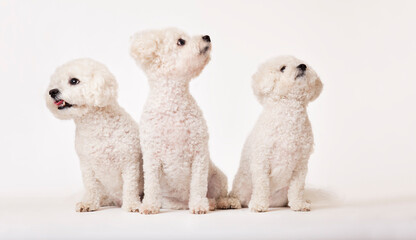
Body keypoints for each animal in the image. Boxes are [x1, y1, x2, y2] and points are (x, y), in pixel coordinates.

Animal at [45, 58, 143, 212]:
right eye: (56, 81)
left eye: (74, 81)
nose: (52, 91)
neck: (96, 127)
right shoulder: (87, 165)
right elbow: (91, 186)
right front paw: (89, 203)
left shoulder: (130, 163)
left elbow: (130, 186)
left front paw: (132, 205)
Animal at [229, 55, 324, 212]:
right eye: (282, 68)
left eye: (301, 63)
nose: (302, 66)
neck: (290, 108)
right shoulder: (262, 159)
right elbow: (261, 185)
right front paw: (259, 205)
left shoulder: (301, 164)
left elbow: (297, 188)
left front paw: (299, 204)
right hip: (241, 186)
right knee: (237, 195)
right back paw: (232, 202)